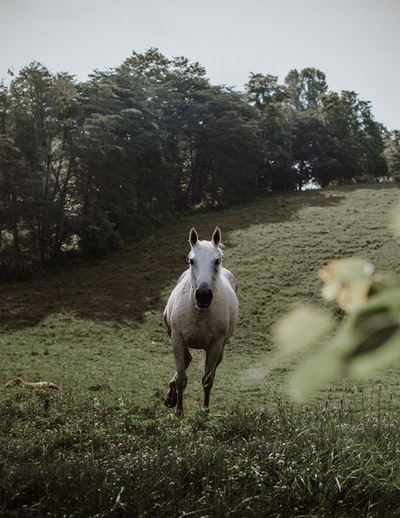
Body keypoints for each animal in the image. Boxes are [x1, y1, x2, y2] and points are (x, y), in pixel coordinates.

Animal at [162, 228, 238, 418]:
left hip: (220, 348)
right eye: (191, 260)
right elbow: (182, 379)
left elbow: (207, 381)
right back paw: (171, 397)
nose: (203, 295)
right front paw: (179, 412)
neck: (199, 312)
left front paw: (205, 411)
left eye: (217, 260)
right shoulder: (177, 339)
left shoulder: (215, 345)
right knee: (186, 361)